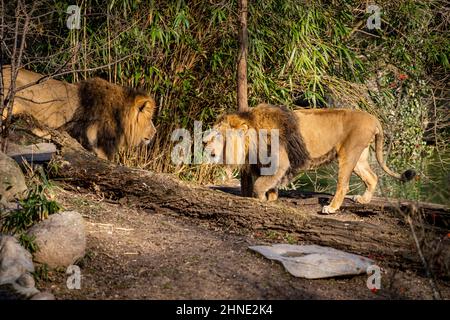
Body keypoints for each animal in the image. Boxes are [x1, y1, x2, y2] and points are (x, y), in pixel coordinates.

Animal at [204, 104, 414, 214]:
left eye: (217, 135)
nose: (204, 141)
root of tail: (373, 117)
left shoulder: (281, 162)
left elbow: (259, 184)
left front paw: (262, 199)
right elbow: (269, 184)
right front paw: (272, 199)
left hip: (349, 154)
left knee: (343, 185)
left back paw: (331, 208)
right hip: (360, 158)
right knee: (373, 177)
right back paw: (363, 200)